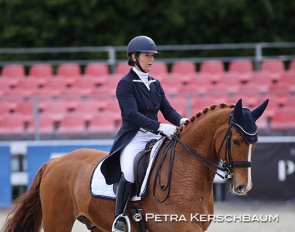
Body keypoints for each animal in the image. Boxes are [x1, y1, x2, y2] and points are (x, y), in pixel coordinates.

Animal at [1, 99, 268, 232]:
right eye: (236, 140)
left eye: (255, 143)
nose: (243, 186)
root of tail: (55, 162)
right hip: (58, 221)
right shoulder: (182, 228)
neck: (186, 168)